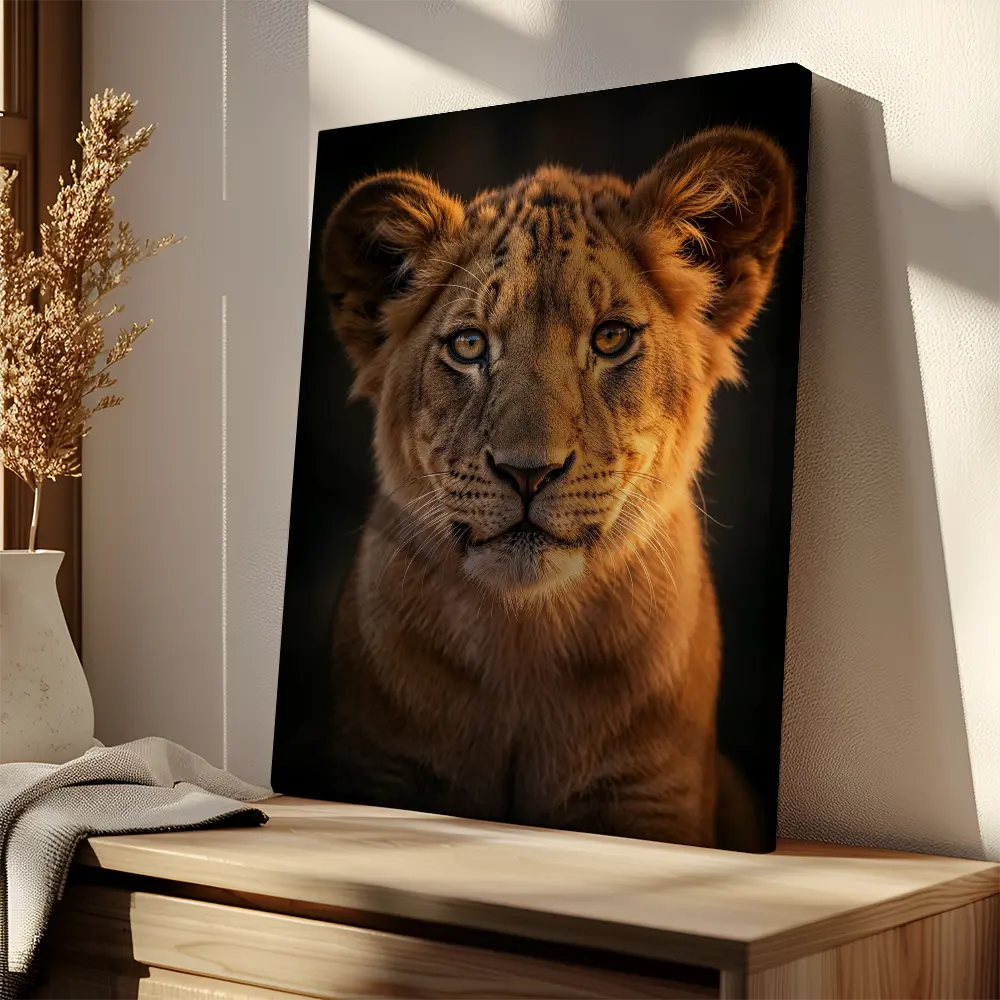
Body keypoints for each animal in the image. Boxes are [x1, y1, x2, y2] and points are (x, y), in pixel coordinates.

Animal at [314, 126, 794, 850]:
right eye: (469, 345)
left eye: (611, 337)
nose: (527, 472)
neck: (526, 639)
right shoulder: (381, 767)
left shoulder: (650, 796)